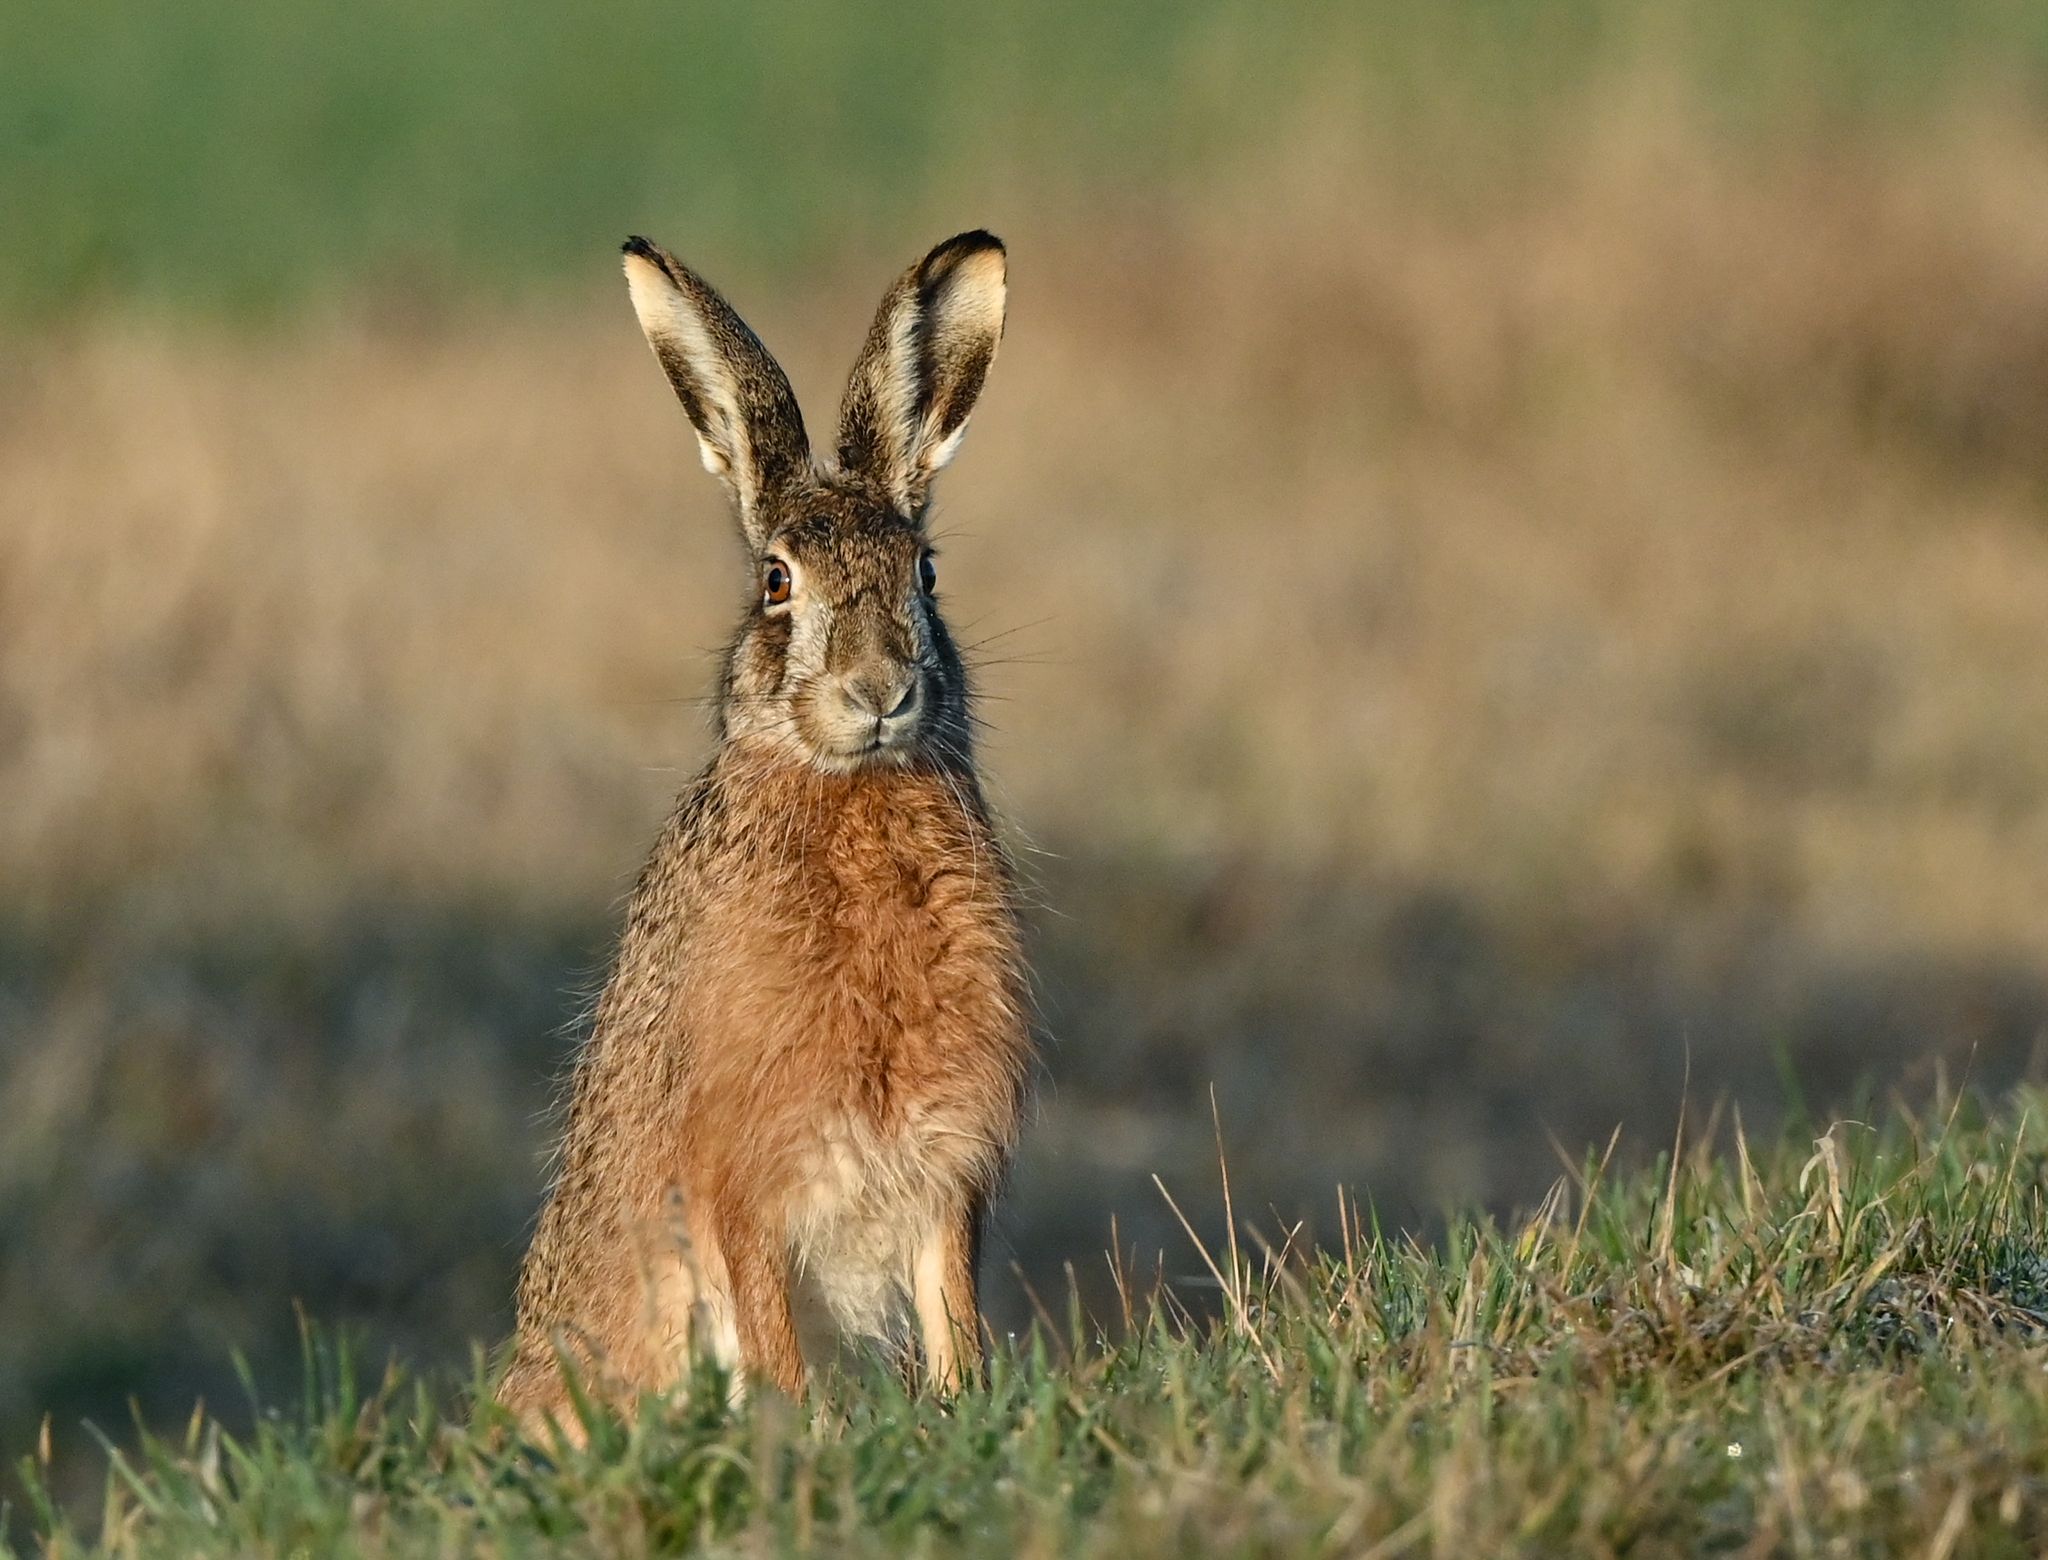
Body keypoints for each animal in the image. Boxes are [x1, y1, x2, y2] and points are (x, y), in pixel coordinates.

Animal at [498, 230, 1032, 1426]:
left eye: (926, 573)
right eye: (777, 583)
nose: (880, 689)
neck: (849, 788)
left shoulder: (941, 1167)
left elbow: (951, 1307)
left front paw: (959, 1403)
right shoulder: (744, 1179)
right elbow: (770, 1325)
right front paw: (808, 1429)